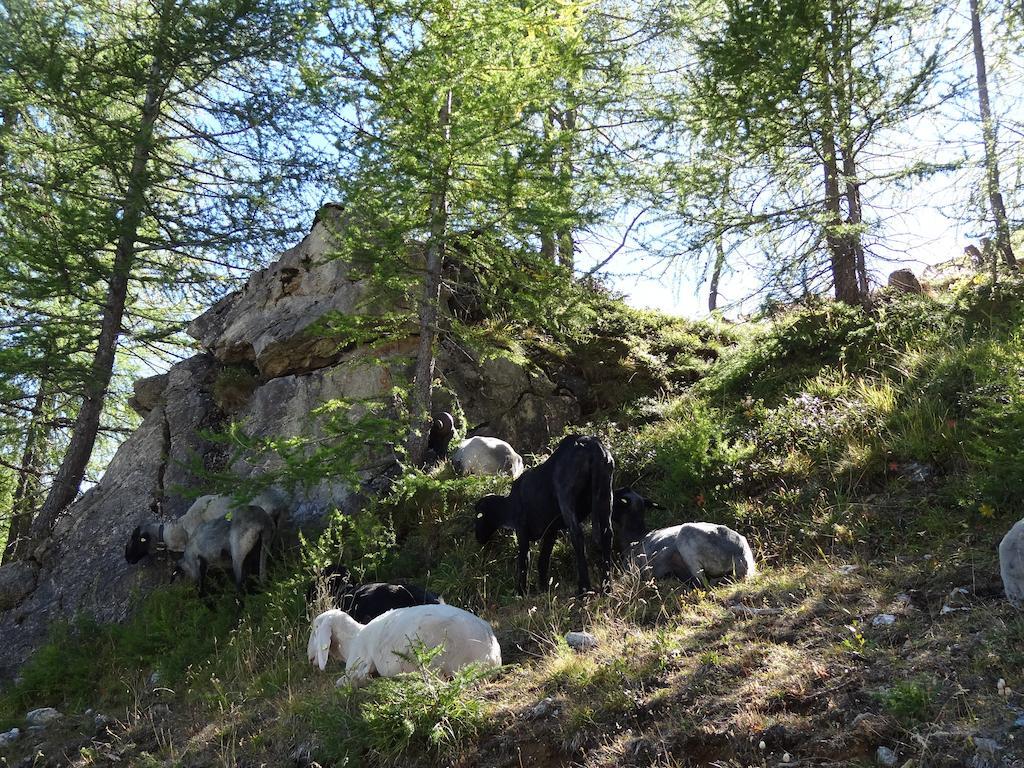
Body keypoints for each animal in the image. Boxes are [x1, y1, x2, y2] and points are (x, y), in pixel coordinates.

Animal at [305, 606, 501, 688]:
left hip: (435, 657)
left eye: (315, 630)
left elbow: (343, 681)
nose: (309, 656)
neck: (352, 639)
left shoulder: (358, 666)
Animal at [473, 434, 610, 593]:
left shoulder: (522, 531)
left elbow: (524, 561)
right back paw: (607, 586)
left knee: (577, 536)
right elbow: (543, 559)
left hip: (566, 497)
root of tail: (591, 444)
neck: (509, 506)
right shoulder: (551, 531)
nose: (478, 538)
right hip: (605, 494)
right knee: (607, 534)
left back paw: (584, 588)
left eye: (479, 516)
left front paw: (520, 591)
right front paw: (543, 588)